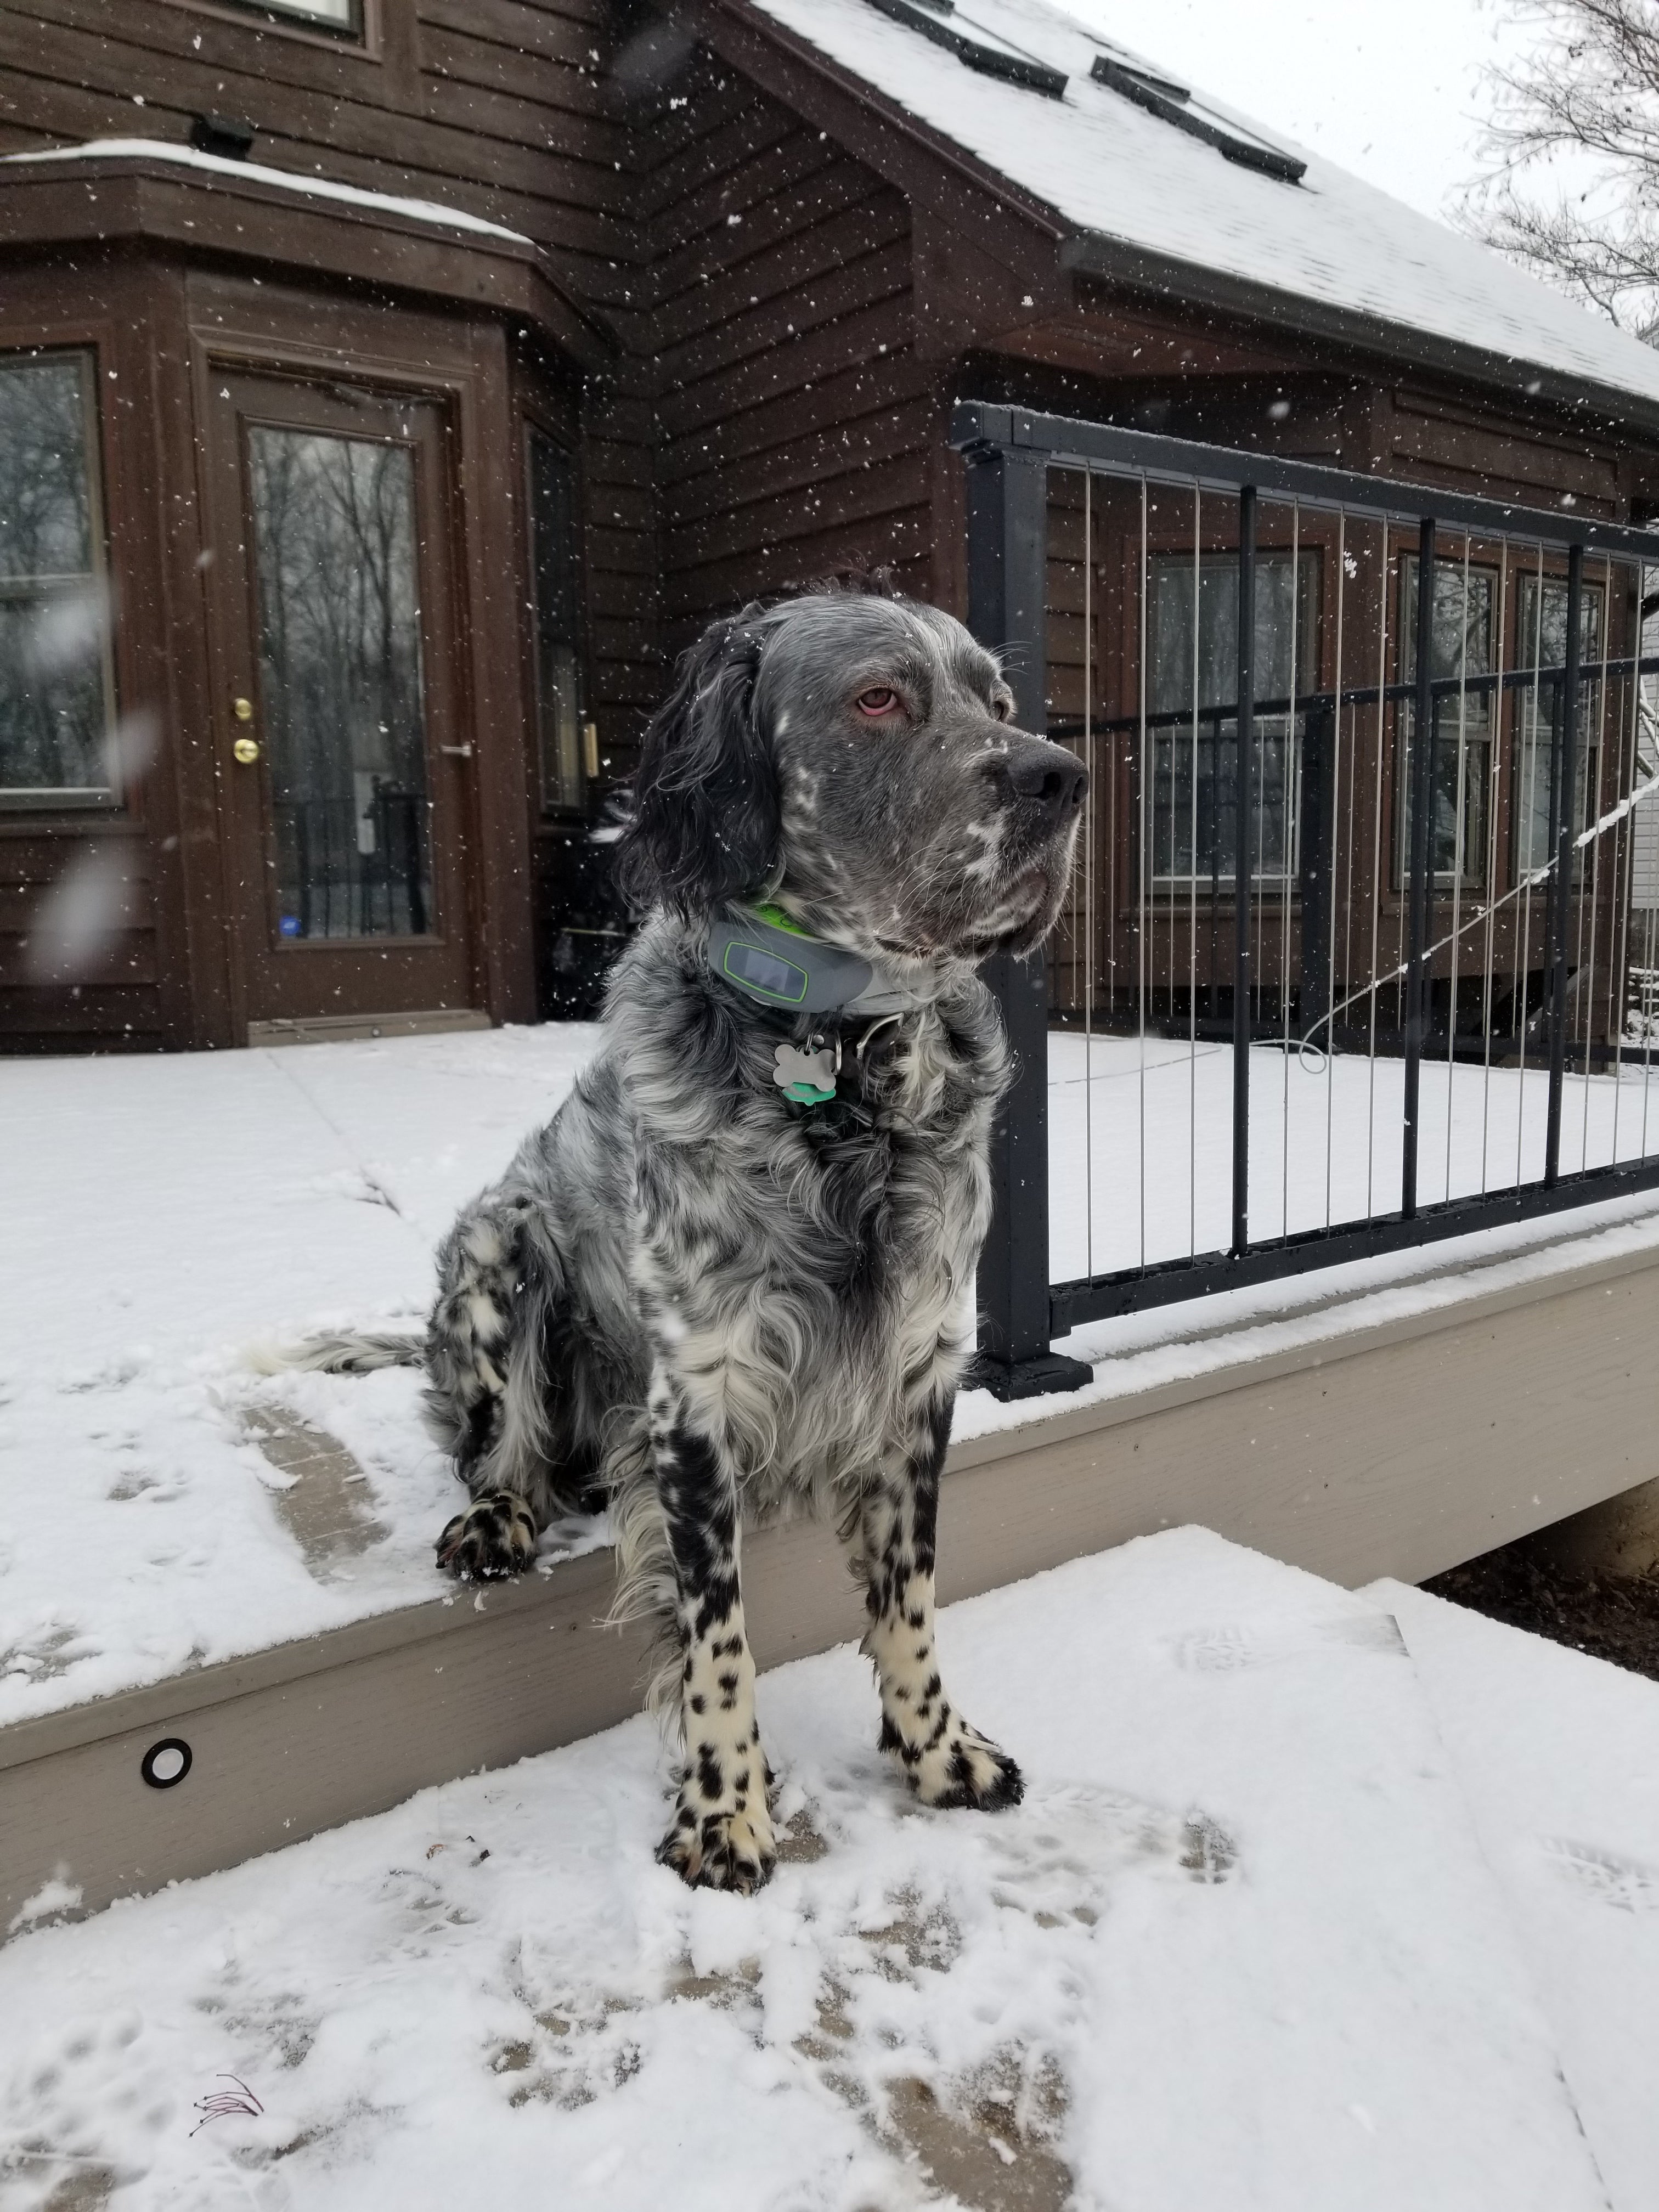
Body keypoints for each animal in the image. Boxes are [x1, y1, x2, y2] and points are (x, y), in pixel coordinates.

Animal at [298, 579, 1092, 1893]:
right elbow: (719, 1640)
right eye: (880, 698)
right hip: (498, 1246)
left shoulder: (919, 1373)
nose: (1061, 777)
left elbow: (910, 1602)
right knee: (495, 1453)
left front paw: (936, 1753)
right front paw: (726, 1811)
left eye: (999, 699)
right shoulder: (696, 1398)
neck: (838, 1062)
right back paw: (497, 1517)